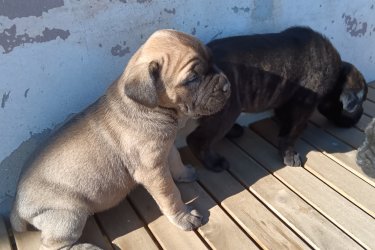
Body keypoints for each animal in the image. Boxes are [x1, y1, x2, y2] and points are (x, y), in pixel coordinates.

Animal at [11, 29, 229, 250]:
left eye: (212, 60)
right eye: (193, 78)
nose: (227, 85)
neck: (152, 107)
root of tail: (17, 207)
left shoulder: (165, 148)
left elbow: (176, 159)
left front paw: (184, 174)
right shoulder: (153, 171)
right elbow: (170, 195)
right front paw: (183, 217)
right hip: (68, 215)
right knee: (52, 245)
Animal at [187, 26, 368, 172]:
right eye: (360, 103)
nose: (361, 117)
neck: (337, 76)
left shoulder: (286, 100)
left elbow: (286, 122)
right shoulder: (303, 105)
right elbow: (291, 132)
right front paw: (290, 154)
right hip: (227, 110)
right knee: (197, 139)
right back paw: (214, 162)